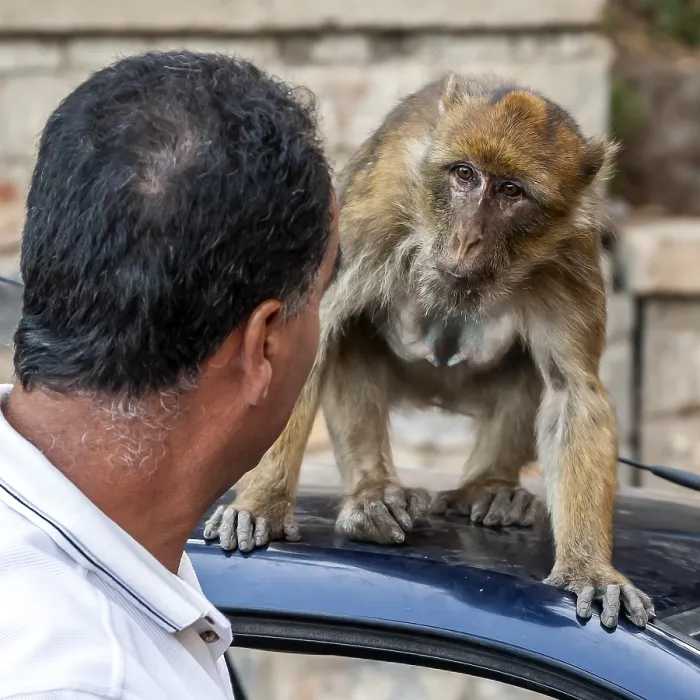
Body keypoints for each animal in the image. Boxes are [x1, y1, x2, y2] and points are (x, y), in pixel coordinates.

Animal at [203, 73, 656, 630]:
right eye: (464, 175)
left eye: (510, 190)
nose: (466, 239)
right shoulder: (376, 213)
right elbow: (312, 338)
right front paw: (261, 503)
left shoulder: (570, 256)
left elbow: (574, 391)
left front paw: (589, 568)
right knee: (349, 334)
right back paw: (372, 499)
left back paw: (489, 488)